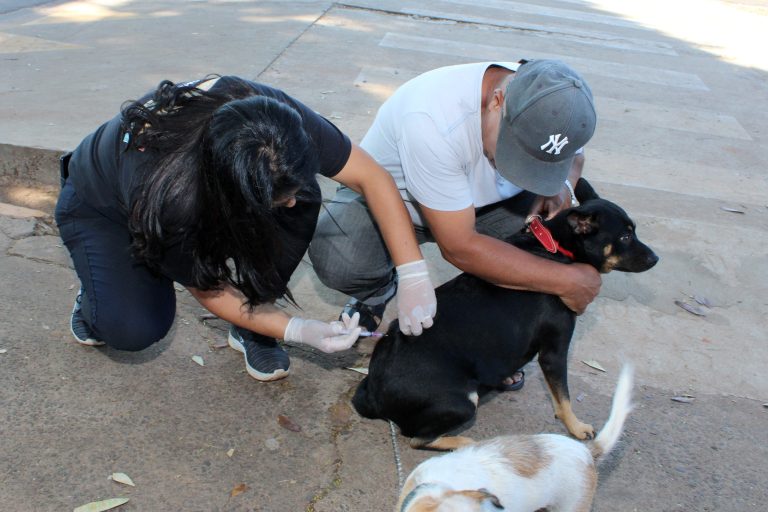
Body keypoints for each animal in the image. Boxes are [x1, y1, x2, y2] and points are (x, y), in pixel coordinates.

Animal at [352, 179, 656, 448]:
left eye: (634, 231)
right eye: (625, 236)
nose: (656, 258)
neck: (558, 247)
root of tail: (373, 394)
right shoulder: (554, 352)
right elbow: (564, 398)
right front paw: (576, 427)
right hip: (463, 401)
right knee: (418, 439)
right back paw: (462, 442)